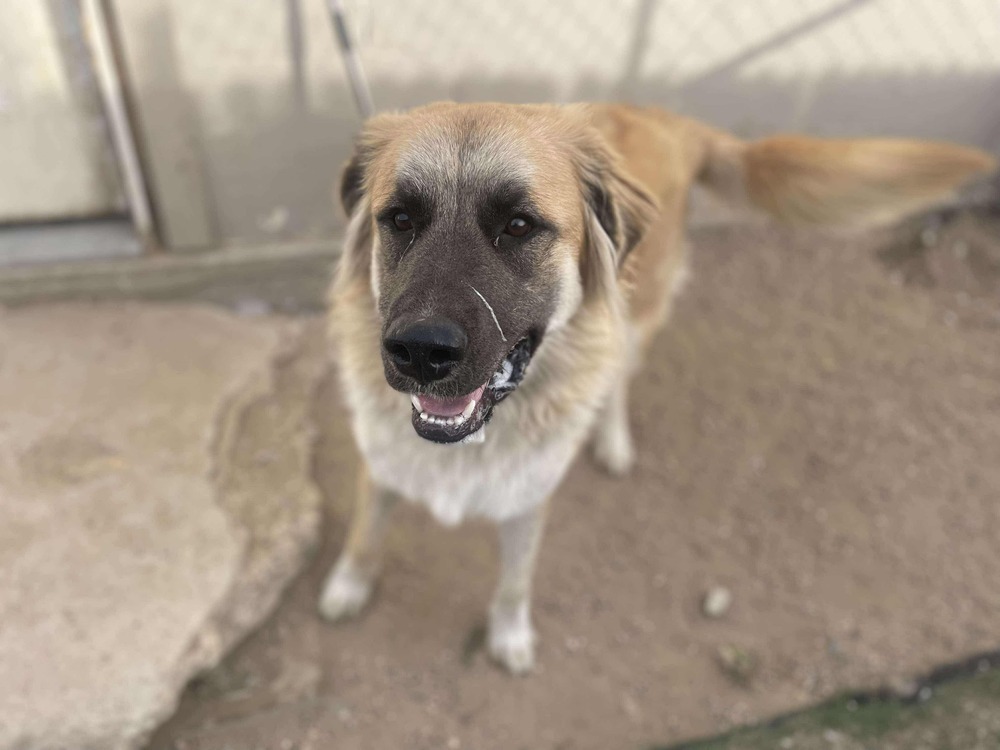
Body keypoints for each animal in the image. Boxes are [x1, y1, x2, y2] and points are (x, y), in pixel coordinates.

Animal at [318, 101, 992, 676]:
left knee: (619, 376)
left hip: (639, 315)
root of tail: (670, 118)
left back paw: (613, 441)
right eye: (400, 219)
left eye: (518, 225)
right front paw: (348, 586)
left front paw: (509, 636)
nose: (420, 351)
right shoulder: (382, 464)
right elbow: (365, 535)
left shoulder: (529, 497)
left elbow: (514, 580)